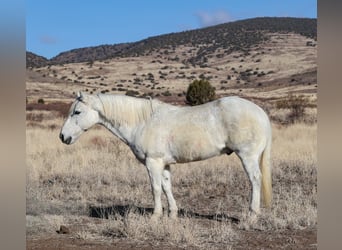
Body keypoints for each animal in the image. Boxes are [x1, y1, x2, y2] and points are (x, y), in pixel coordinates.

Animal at [59, 92, 272, 219]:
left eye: (77, 112)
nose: (63, 136)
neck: (143, 122)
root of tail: (260, 112)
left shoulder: (152, 162)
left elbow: (155, 188)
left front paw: (156, 215)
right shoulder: (164, 164)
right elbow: (167, 187)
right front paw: (172, 214)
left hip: (247, 156)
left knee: (255, 180)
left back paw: (252, 215)